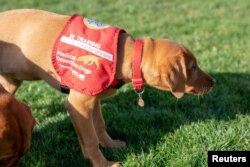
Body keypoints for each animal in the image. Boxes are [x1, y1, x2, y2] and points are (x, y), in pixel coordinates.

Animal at [0, 9, 215, 167]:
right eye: (193, 67)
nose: (213, 82)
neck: (123, 54)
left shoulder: (92, 99)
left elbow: (99, 126)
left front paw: (110, 145)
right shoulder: (78, 105)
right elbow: (90, 140)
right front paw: (103, 164)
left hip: (11, 83)